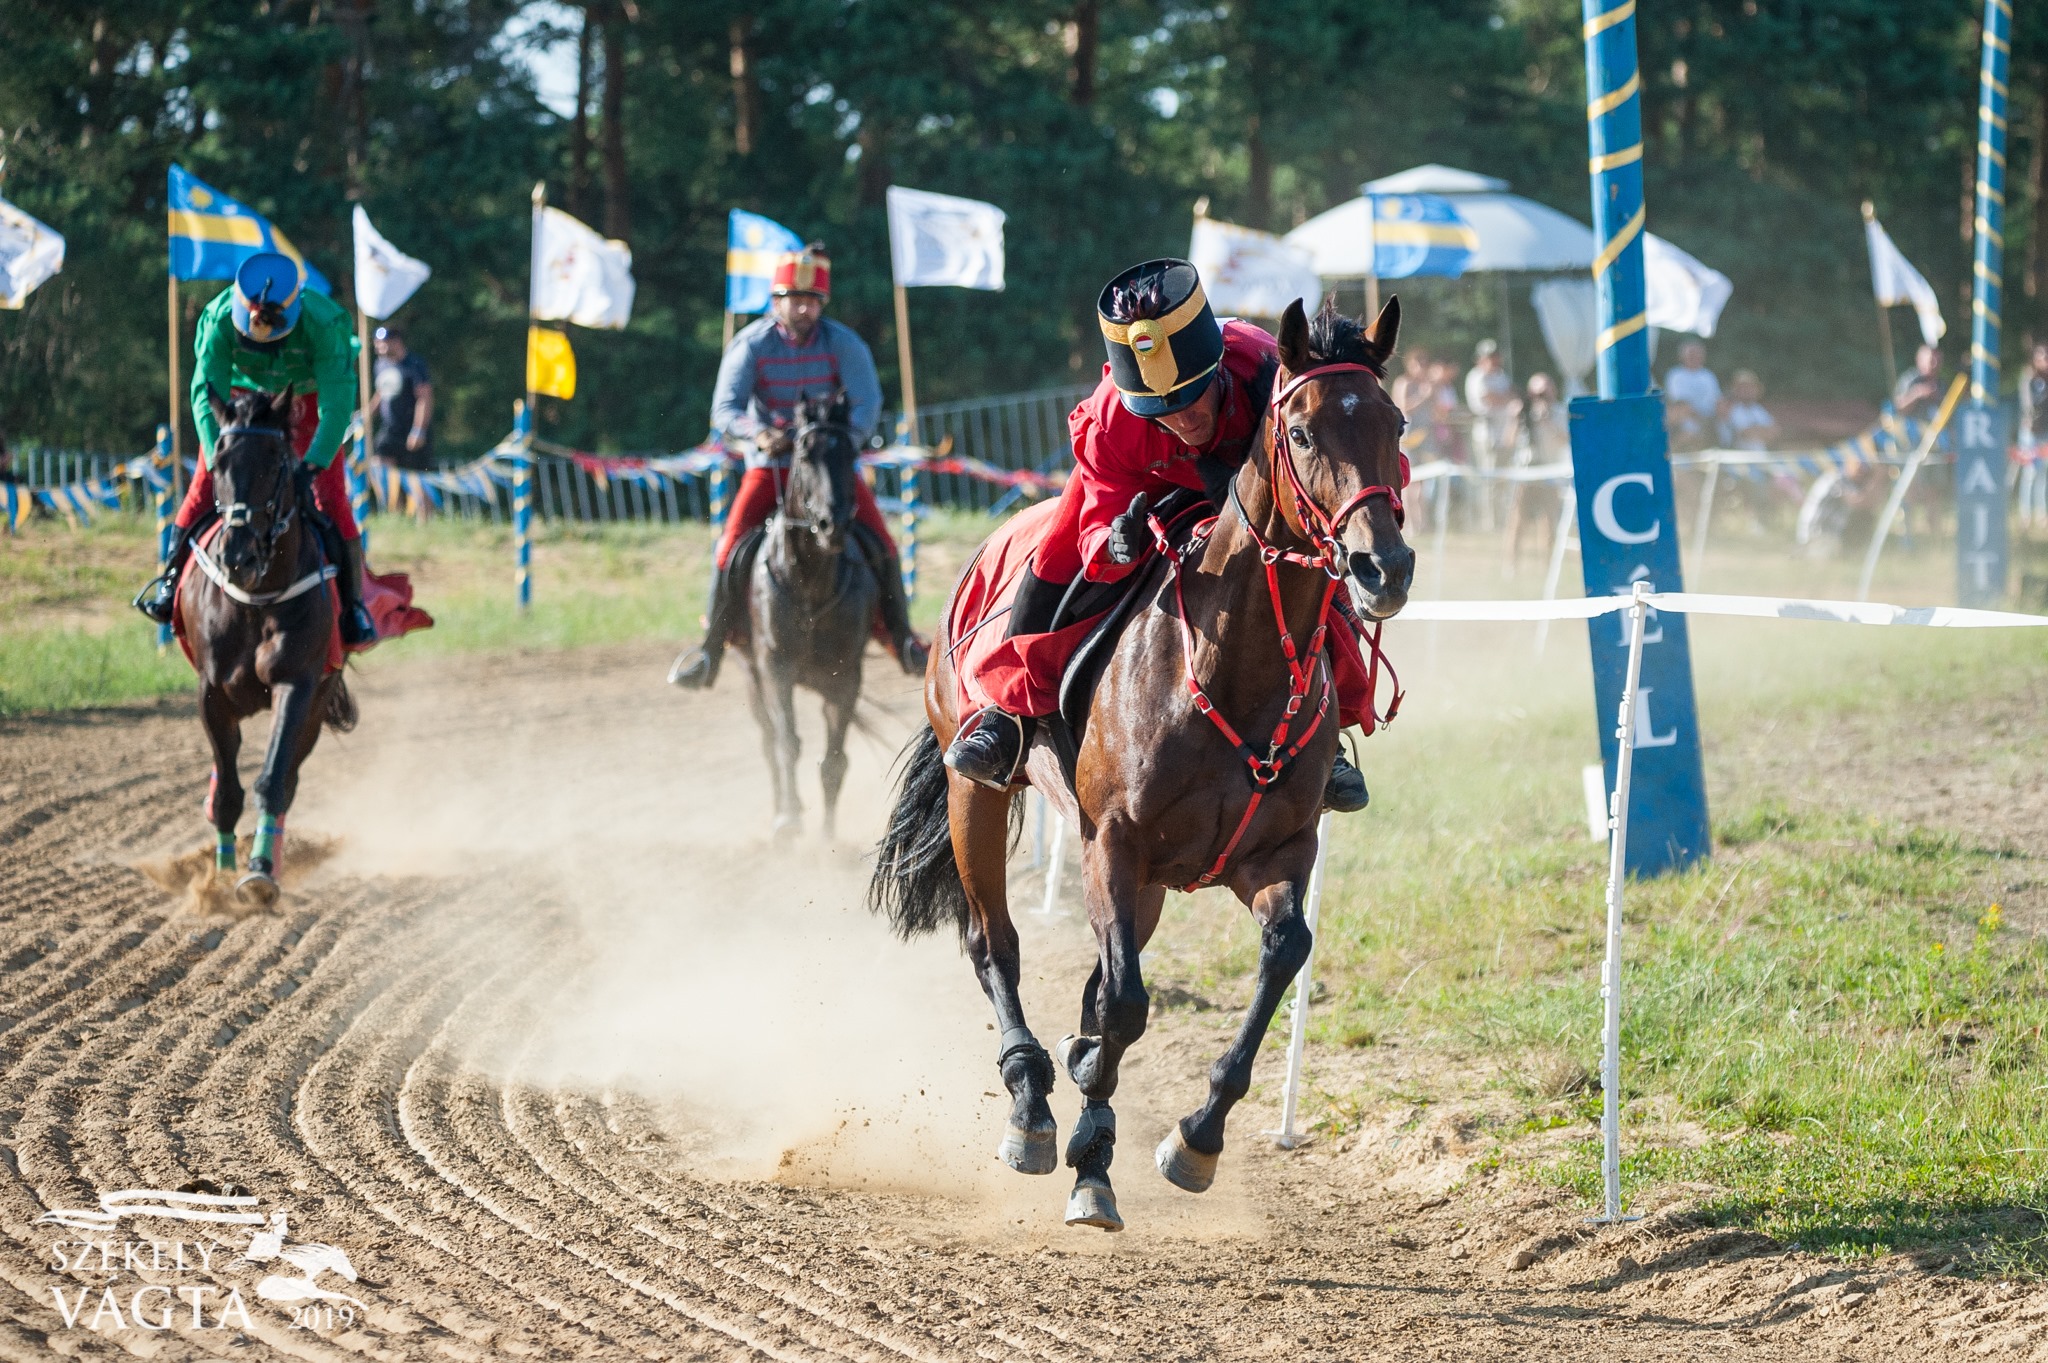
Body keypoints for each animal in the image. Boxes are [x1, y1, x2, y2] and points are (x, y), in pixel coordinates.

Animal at [182, 386, 358, 908]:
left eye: (276, 463)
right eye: (218, 462)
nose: (237, 556)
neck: (257, 600)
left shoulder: (297, 687)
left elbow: (274, 778)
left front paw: (259, 872)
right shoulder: (212, 694)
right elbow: (227, 794)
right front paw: (220, 877)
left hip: (318, 706)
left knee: (290, 777)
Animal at [741, 386, 876, 839]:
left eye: (850, 453)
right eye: (804, 453)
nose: (832, 523)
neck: (811, 587)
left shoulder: (844, 678)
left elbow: (834, 762)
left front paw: (827, 838)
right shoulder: (774, 668)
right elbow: (787, 744)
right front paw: (789, 820)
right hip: (752, 678)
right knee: (768, 743)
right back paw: (784, 810)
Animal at [864, 300, 1409, 1227]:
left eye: (1396, 423)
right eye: (1300, 431)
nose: (1383, 566)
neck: (1233, 667)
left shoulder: (1272, 854)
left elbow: (1282, 952)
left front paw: (1195, 1136)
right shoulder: (1112, 843)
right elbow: (1122, 1000)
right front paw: (1090, 1154)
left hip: (1149, 878)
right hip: (977, 790)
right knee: (992, 943)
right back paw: (1030, 1099)